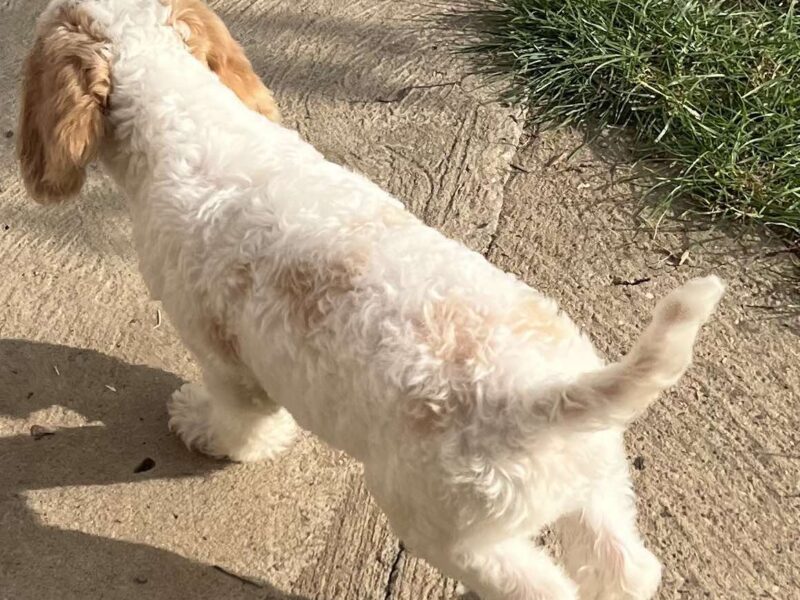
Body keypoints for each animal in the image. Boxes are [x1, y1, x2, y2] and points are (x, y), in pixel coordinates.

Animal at [17, 2, 724, 596]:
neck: (188, 116)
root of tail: (546, 398)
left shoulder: (224, 358)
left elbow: (240, 418)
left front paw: (205, 430)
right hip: (600, 491)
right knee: (629, 569)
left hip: (452, 533)